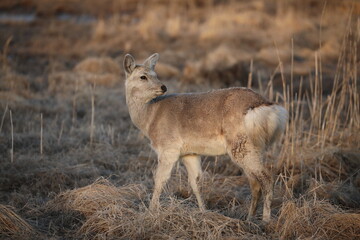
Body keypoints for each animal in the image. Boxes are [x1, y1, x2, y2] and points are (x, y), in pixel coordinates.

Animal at [123, 53, 286, 222]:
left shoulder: (168, 147)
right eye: (143, 76)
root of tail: (265, 106)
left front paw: (150, 212)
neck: (150, 118)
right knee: (255, 183)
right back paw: (249, 218)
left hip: (242, 144)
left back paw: (266, 220)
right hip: (254, 147)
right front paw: (203, 212)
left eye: (155, 75)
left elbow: (159, 180)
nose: (163, 87)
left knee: (267, 178)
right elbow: (196, 183)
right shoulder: (190, 153)